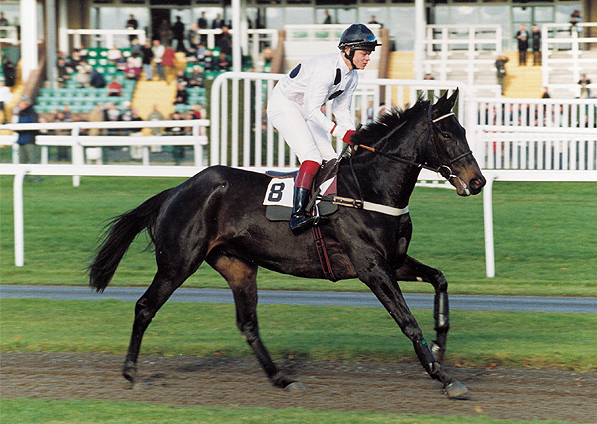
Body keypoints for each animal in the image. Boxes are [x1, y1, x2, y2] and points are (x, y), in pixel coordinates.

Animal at [91, 89, 486, 398]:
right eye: (446, 135)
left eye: (464, 131)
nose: (477, 181)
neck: (370, 189)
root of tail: (177, 189)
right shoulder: (371, 267)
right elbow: (407, 321)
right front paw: (443, 376)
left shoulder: (395, 260)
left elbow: (440, 280)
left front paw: (439, 346)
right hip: (178, 261)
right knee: (145, 307)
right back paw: (131, 373)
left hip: (237, 266)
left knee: (248, 324)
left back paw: (282, 378)